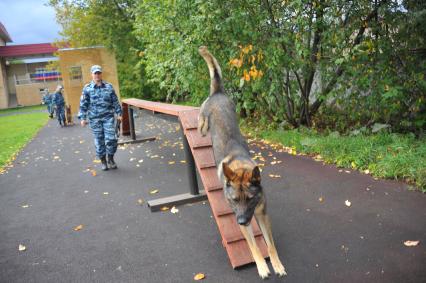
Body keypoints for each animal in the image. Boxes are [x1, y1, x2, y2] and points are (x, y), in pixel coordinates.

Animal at [197, 47, 286, 280]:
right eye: (235, 200)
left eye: (251, 199)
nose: (241, 222)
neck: (239, 166)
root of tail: (218, 93)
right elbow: (254, 246)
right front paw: (262, 267)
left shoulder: (262, 215)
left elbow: (270, 245)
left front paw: (277, 264)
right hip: (202, 125)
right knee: (201, 125)